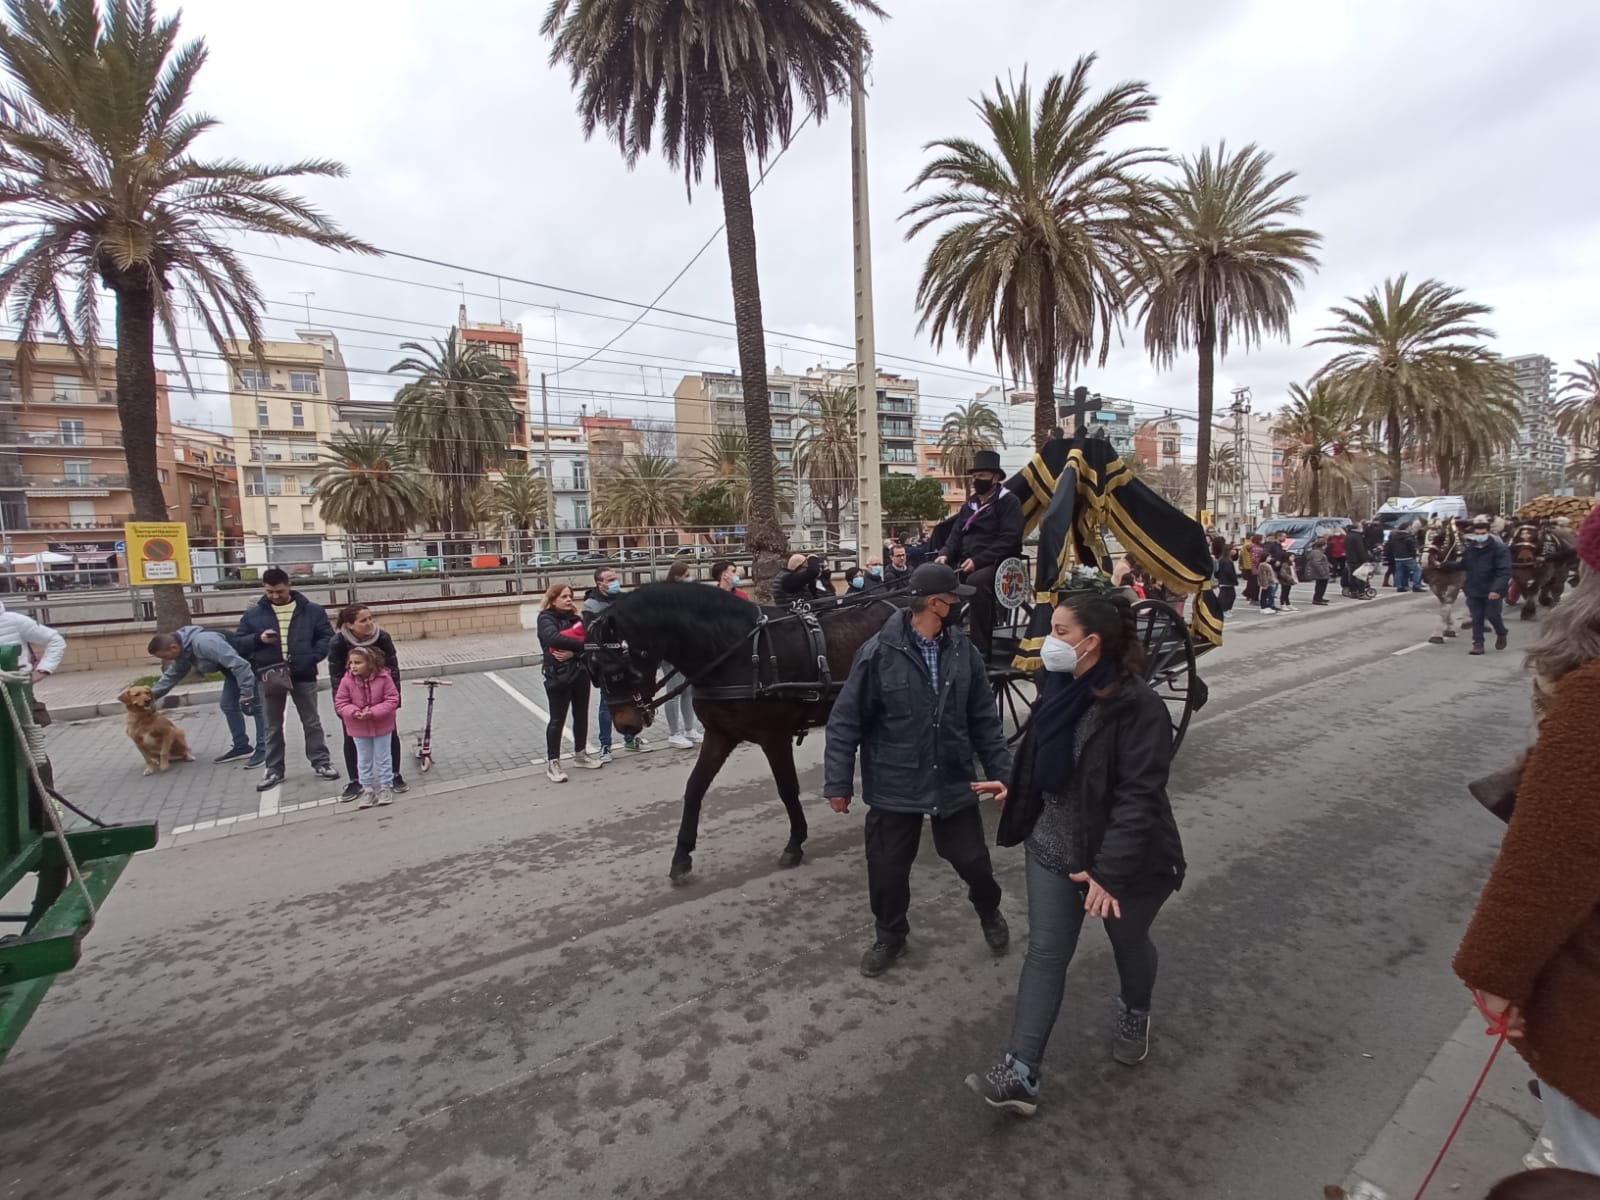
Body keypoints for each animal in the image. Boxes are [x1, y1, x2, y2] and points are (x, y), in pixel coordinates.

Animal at [585, 582, 915, 883]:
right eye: (594, 672)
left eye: (619, 671)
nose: (625, 725)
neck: (737, 651)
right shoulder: (720, 734)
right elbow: (694, 788)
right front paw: (682, 855)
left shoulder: (774, 737)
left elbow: (787, 788)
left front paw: (795, 843)